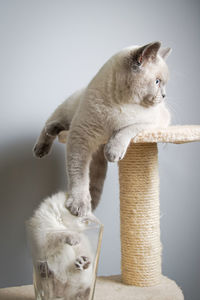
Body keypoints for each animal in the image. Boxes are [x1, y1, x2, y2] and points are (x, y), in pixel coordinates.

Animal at [33, 41, 171, 217]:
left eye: (163, 83)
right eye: (157, 82)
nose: (164, 96)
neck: (120, 103)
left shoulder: (154, 124)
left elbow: (126, 130)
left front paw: (112, 152)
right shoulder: (81, 136)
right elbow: (79, 176)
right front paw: (79, 206)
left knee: (62, 125)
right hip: (69, 108)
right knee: (53, 123)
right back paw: (42, 146)